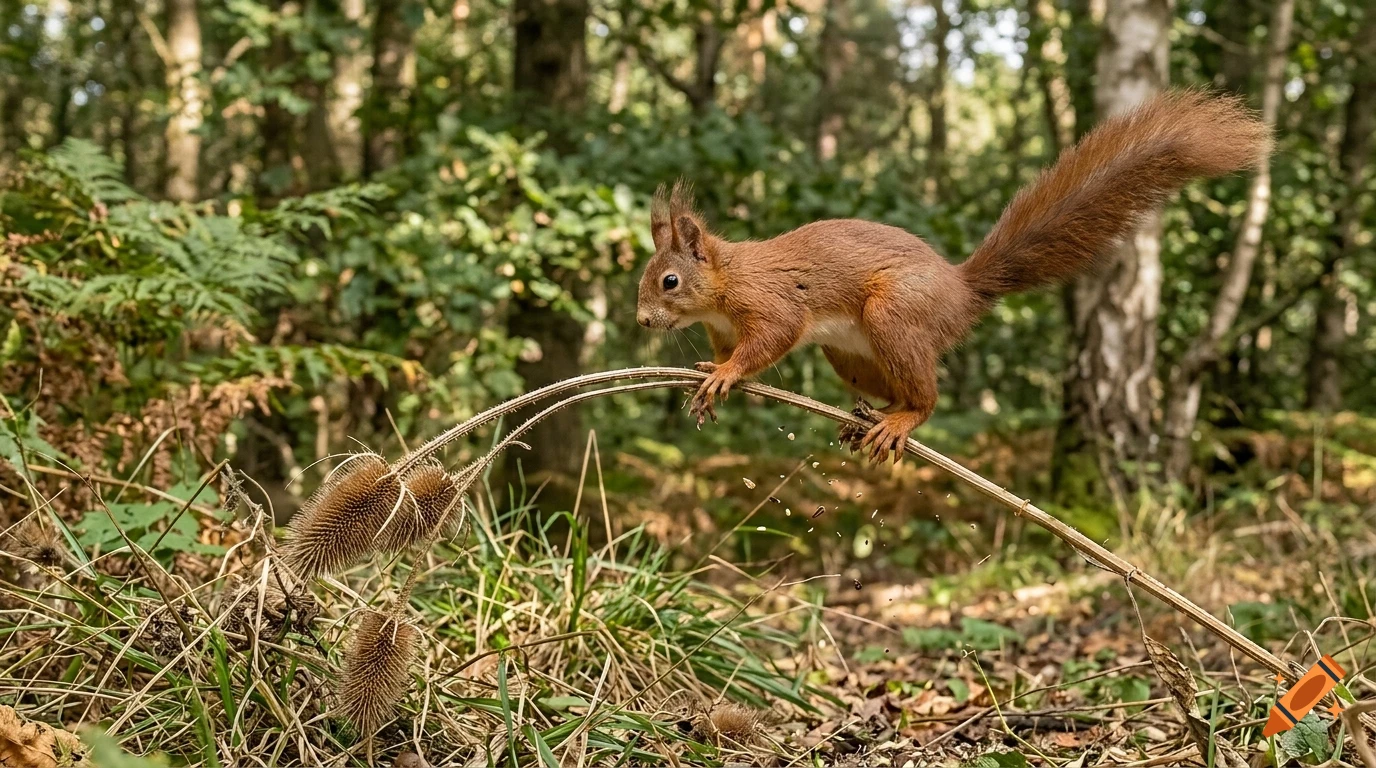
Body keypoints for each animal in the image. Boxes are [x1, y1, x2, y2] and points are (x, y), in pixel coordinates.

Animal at [635, 90, 1272, 463]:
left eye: (669, 281)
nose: (642, 320)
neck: (721, 289)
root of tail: (963, 292)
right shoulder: (722, 326)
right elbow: (726, 351)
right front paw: (710, 377)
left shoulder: (767, 302)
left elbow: (773, 336)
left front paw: (727, 374)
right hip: (851, 353)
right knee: (894, 386)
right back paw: (868, 418)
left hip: (893, 315)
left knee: (928, 397)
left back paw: (900, 421)